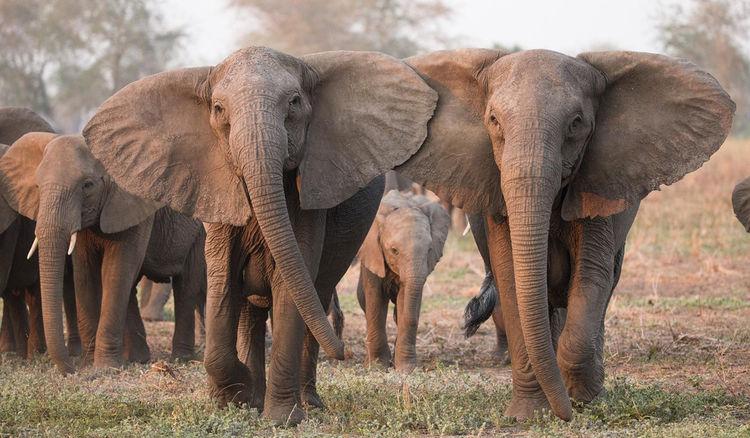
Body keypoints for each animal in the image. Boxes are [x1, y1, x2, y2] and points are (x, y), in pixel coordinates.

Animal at [0, 133, 207, 372]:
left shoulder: (133, 204)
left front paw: (105, 368)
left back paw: (180, 358)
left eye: (87, 185)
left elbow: (117, 270)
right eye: (37, 185)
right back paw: (138, 358)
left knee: (186, 286)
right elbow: (84, 273)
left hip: (199, 230)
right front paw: (90, 364)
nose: (71, 370)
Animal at [82, 45, 438, 424]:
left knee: (315, 296)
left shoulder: (307, 200)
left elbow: (290, 284)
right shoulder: (216, 190)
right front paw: (234, 395)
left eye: (295, 102)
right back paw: (253, 396)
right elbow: (223, 281)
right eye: (218, 109)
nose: (343, 353)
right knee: (251, 311)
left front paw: (282, 418)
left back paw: (306, 401)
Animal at [356, 190, 450, 372]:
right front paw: (377, 367)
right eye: (394, 251)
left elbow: (406, 300)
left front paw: (406, 370)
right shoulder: (372, 253)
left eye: (429, 250)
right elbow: (375, 302)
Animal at [396, 48, 736, 420]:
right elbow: (511, 280)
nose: (566, 414)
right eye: (494, 120)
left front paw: (582, 400)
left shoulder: (598, 185)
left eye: (576, 123)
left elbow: (591, 275)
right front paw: (530, 414)